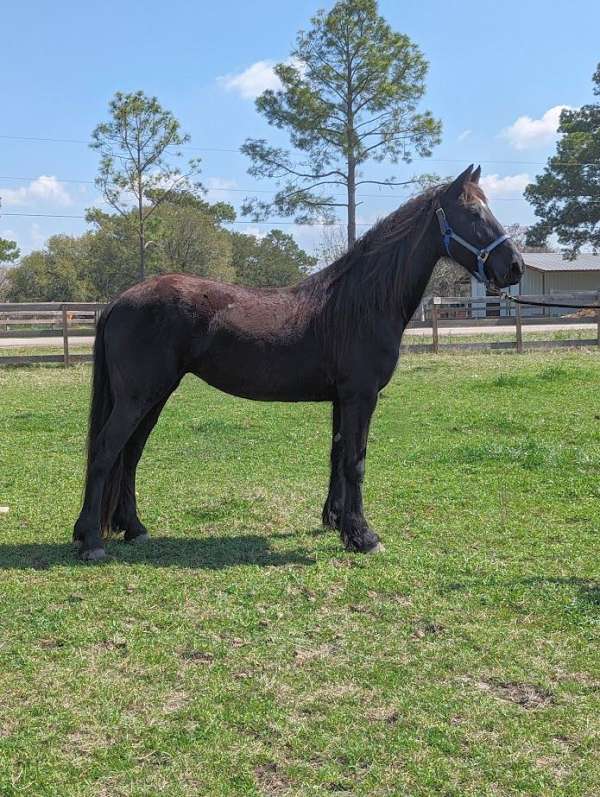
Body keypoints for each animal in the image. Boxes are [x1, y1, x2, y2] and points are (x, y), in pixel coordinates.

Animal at [74, 163, 524, 560]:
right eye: (473, 213)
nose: (515, 266)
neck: (360, 302)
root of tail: (120, 300)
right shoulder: (360, 396)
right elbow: (356, 462)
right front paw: (364, 536)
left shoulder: (343, 399)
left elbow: (337, 456)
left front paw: (338, 522)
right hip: (139, 397)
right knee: (105, 451)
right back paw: (91, 540)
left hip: (155, 395)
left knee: (130, 454)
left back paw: (134, 528)